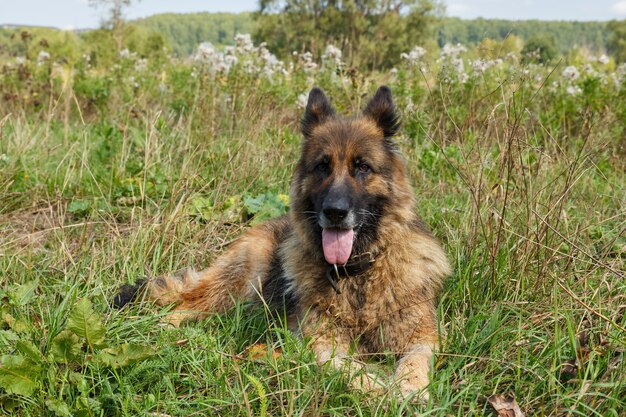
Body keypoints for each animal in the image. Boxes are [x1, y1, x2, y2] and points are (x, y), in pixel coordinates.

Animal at [114, 86, 448, 398]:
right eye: (322, 166)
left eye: (362, 167)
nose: (335, 212)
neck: (357, 275)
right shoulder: (321, 343)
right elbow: (349, 370)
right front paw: (383, 391)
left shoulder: (422, 337)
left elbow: (414, 362)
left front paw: (408, 388)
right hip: (240, 281)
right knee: (185, 303)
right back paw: (164, 330)